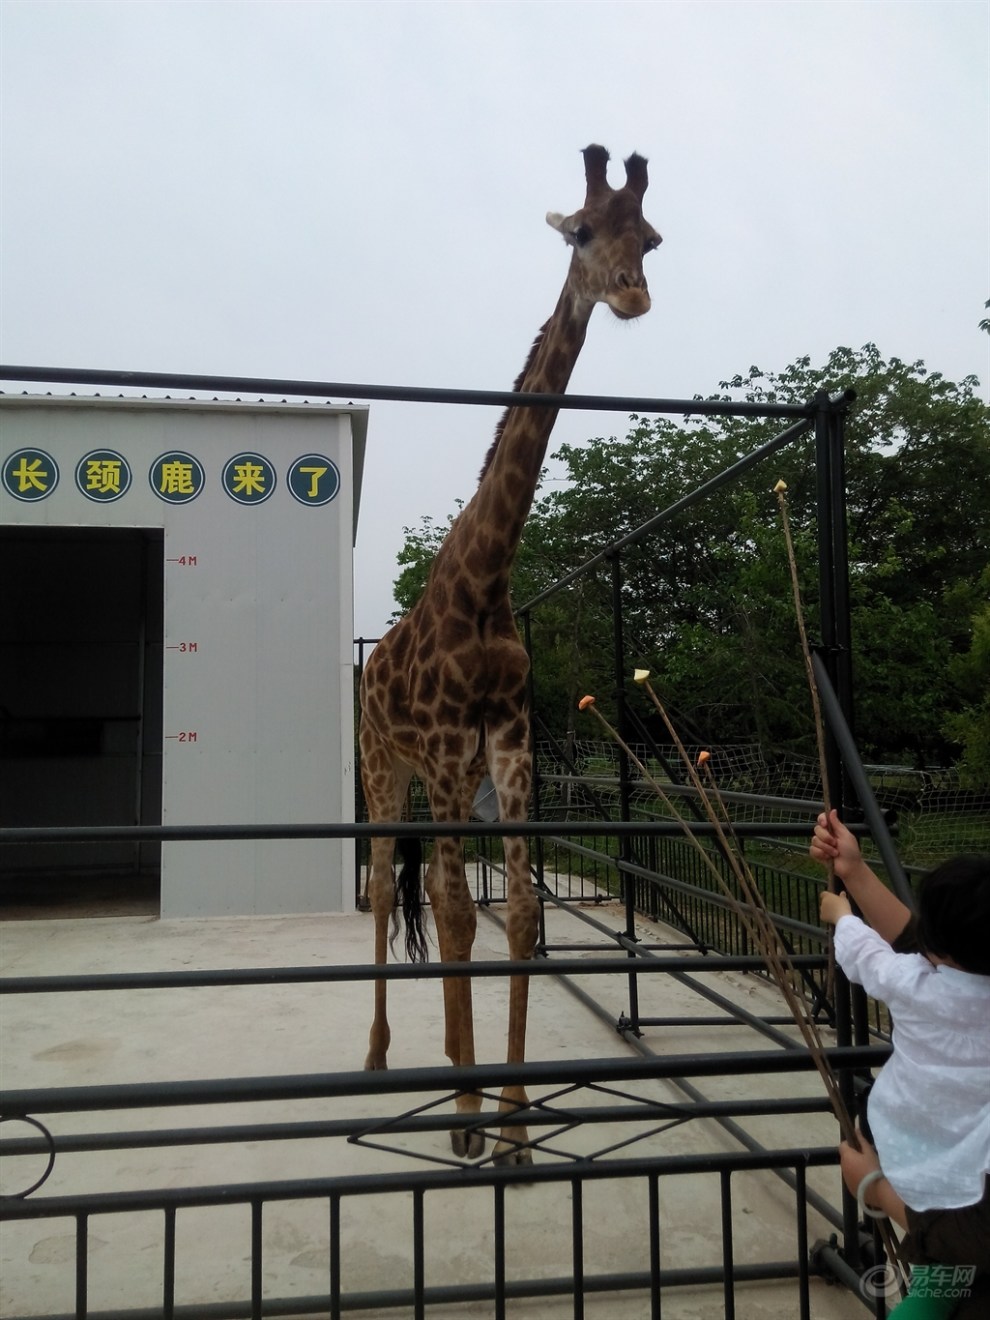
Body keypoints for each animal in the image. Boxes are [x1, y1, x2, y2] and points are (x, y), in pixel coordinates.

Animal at [361, 139, 662, 1161]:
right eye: (581, 232)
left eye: (651, 236)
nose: (632, 295)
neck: (487, 580)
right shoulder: (450, 743)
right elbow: (457, 912)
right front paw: (465, 1120)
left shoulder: (510, 740)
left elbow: (522, 911)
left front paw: (517, 1121)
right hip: (385, 770)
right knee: (392, 890)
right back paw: (378, 1061)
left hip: (437, 776)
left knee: (430, 886)